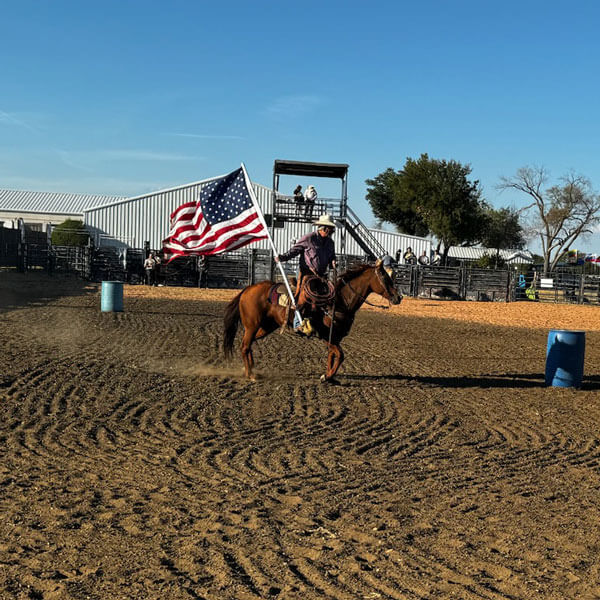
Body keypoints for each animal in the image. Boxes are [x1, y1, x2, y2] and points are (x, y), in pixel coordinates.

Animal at [223, 260, 400, 382]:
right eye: (385, 277)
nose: (398, 297)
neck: (339, 301)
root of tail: (247, 290)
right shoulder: (326, 336)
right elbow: (340, 355)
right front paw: (326, 376)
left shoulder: (334, 338)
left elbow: (332, 356)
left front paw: (330, 377)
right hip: (252, 325)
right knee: (245, 346)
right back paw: (250, 375)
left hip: (266, 326)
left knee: (248, 345)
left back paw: (251, 370)